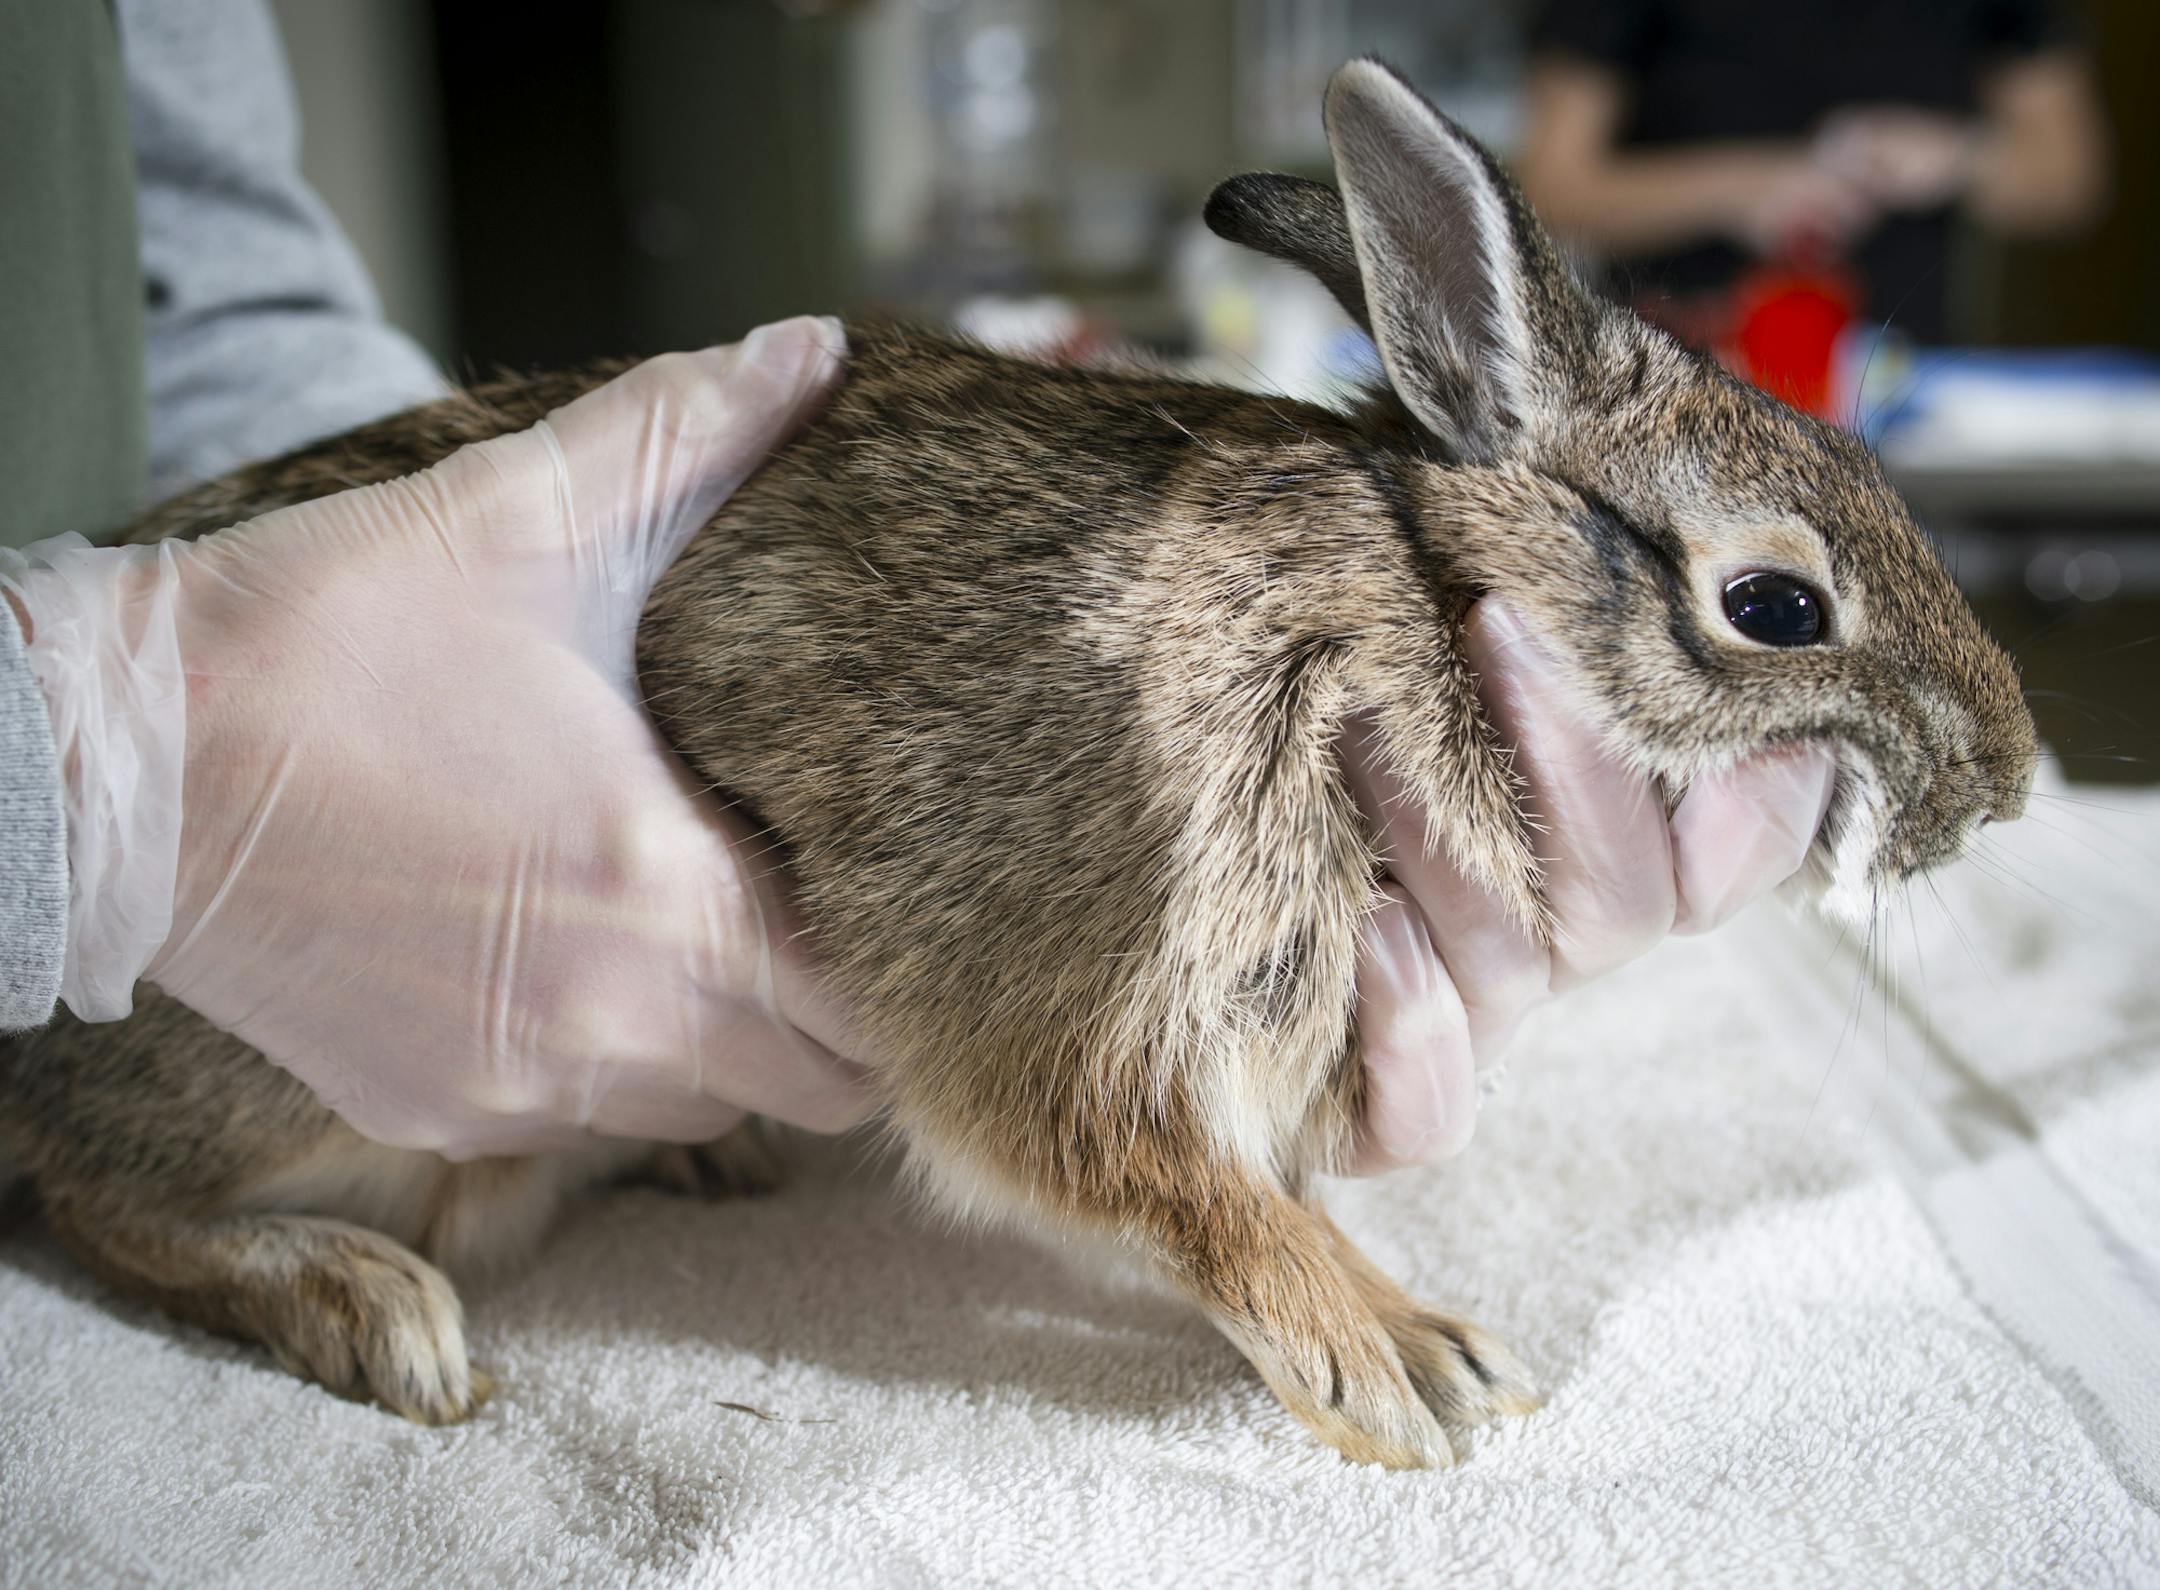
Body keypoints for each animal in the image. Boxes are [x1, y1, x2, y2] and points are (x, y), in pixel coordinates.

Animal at [0, 61, 2035, 1468]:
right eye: (1775, 605)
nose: (2010, 780)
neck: (1423, 604)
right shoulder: (1124, 940)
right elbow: (1167, 1176)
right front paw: (1406, 1357)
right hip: (278, 1061)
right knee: (95, 1189)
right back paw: (367, 1304)